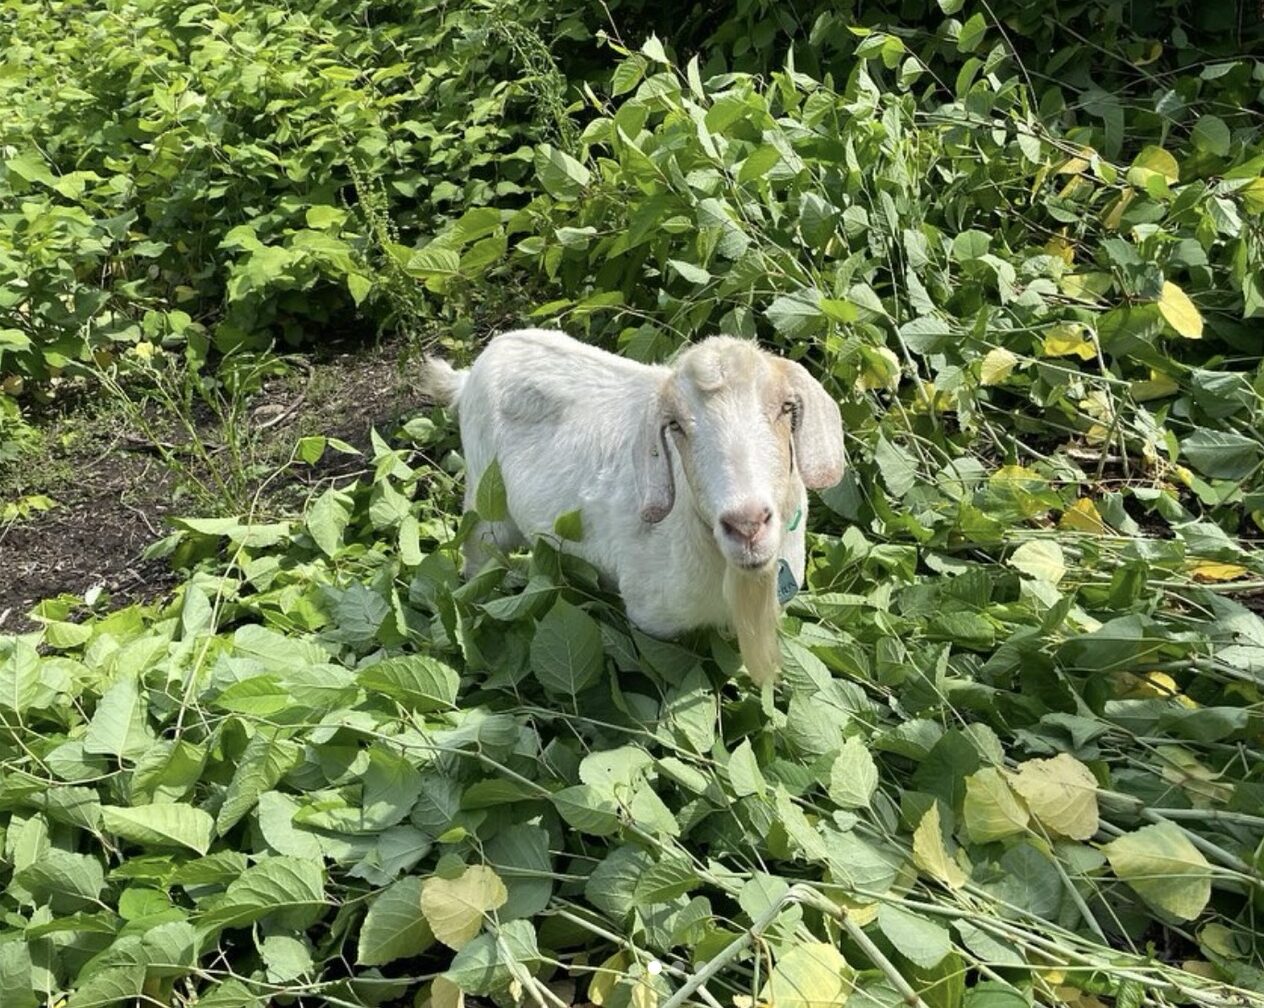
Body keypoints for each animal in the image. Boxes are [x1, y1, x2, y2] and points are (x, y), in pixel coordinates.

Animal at [419, 329, 845, 685]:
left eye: (785, 407)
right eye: (676, 426)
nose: (747, 524)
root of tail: (473, 370)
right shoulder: (652, 623)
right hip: (485, 501)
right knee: (478, 555)